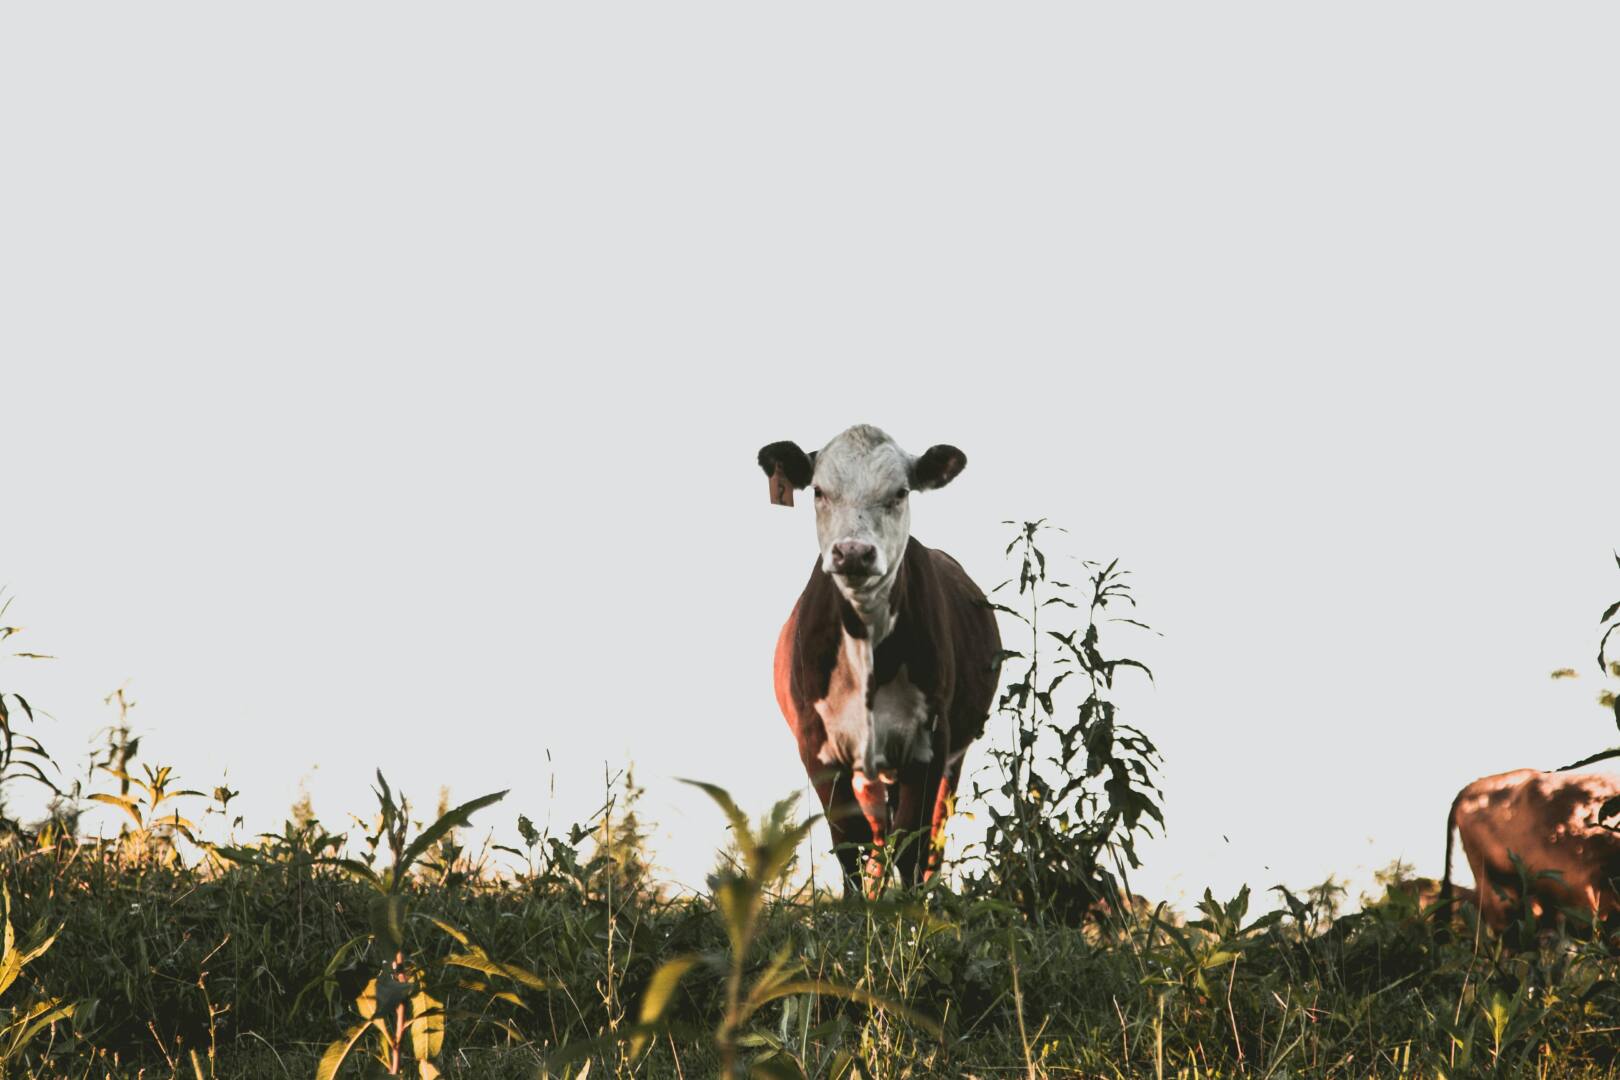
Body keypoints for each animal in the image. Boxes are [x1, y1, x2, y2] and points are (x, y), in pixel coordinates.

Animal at [758, 425, 1001, 895]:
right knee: (875, 836)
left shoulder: (930, 742)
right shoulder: (818, 748)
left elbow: (913, 843)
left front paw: (910, 909)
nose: (854, 552)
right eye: (819, 490)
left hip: (950, 758)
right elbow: (849, 845)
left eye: (900, 492)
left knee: (929, 836)